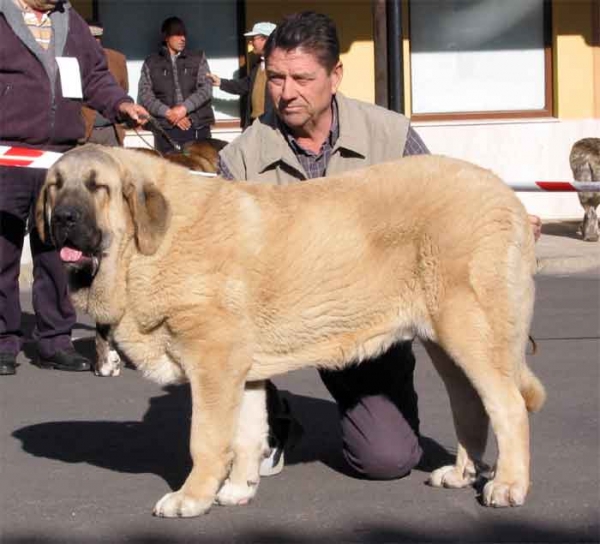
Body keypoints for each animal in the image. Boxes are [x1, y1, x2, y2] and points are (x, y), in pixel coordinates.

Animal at [35, 144, 548, 520]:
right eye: (55, 188)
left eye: (98, 188)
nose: (64, 219)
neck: (148, 248)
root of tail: (509, 198)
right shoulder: (240, 372)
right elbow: (246, 433)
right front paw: (238, 489)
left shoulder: (213, 363)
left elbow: (206, 439)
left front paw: (192, 497)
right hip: (447, 343)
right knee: (470, 407)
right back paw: (463, 474)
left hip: (471, 333)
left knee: (507, 407)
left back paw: (508, 485)